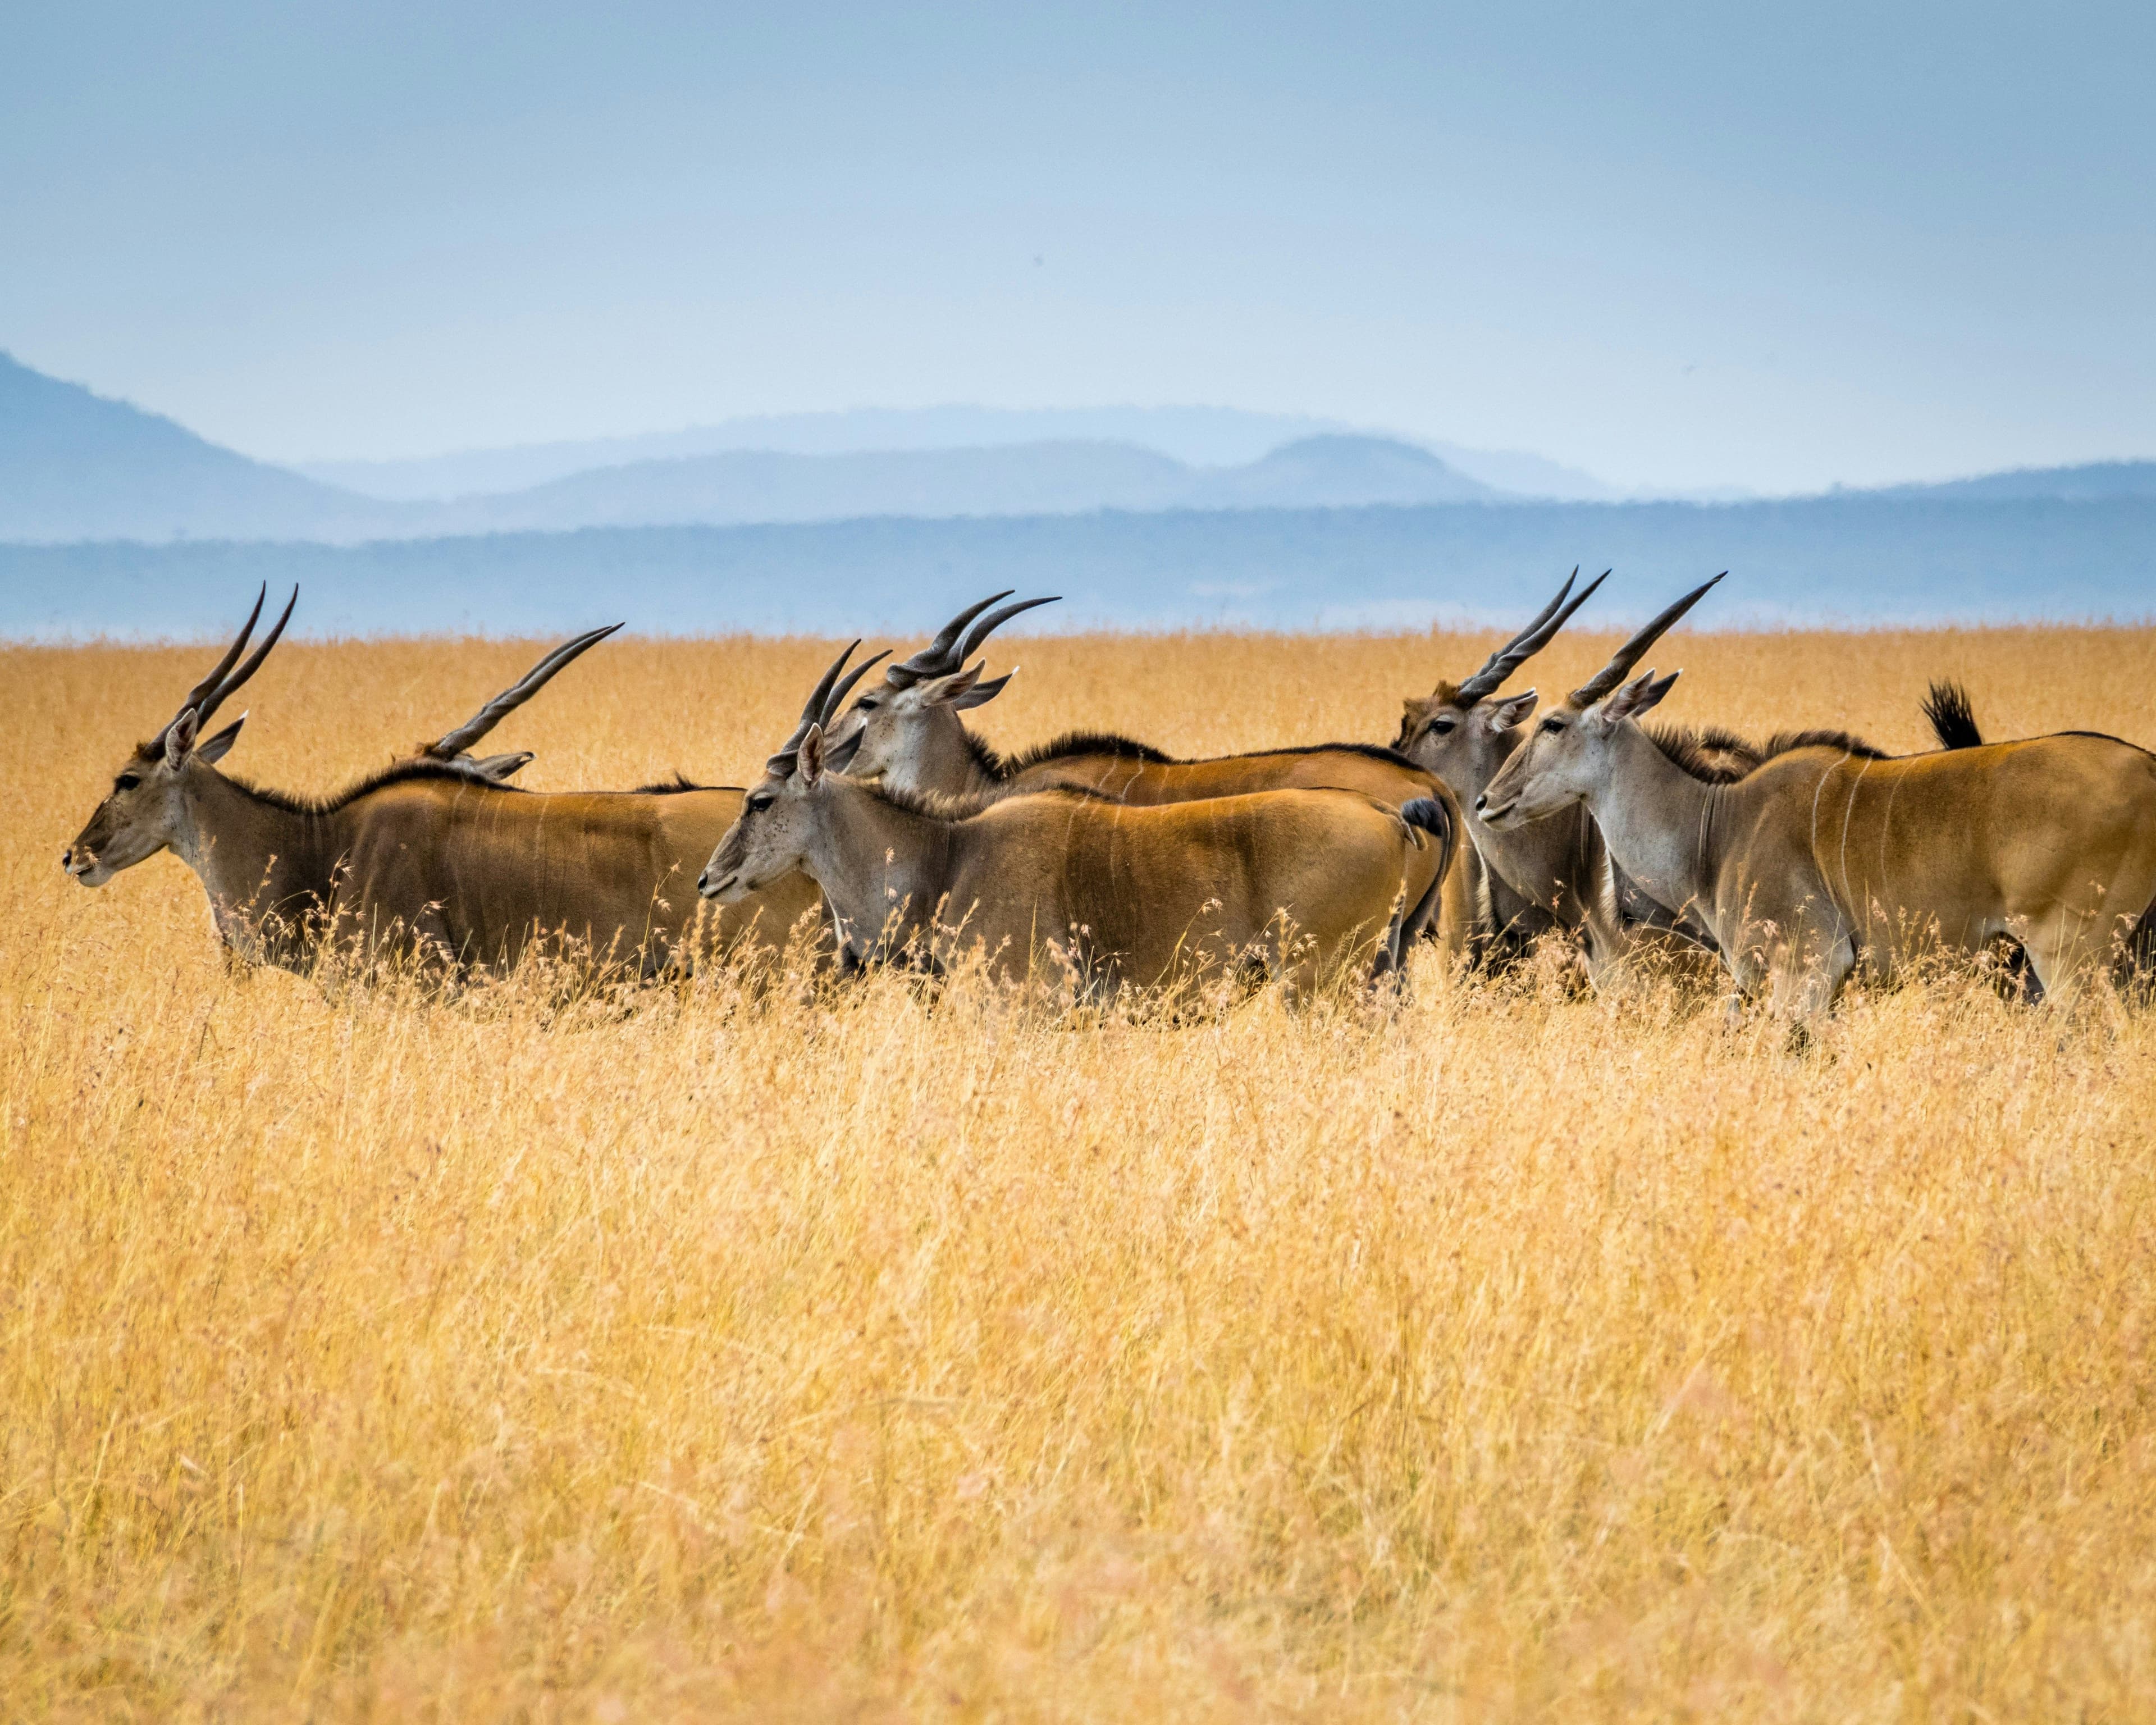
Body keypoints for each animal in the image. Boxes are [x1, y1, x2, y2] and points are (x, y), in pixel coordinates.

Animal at [1477, 578, 2156, 1023]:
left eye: (1553, 725)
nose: (1486, 802)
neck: (1715, 827)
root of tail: (2148, 768)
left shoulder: (1805, 970)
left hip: (2070, 958)